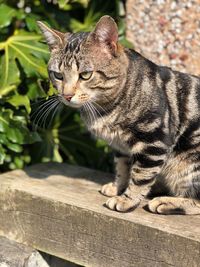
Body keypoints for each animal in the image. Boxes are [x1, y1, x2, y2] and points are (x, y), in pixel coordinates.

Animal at [38, 15, 200, 216]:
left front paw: (127, 200)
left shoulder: (153, 141)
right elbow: (123, 168)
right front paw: (118, 188)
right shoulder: (121, 147)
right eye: (58, 75)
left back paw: (166, 201)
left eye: (85, 75)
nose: (67, 95)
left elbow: (140, 176)